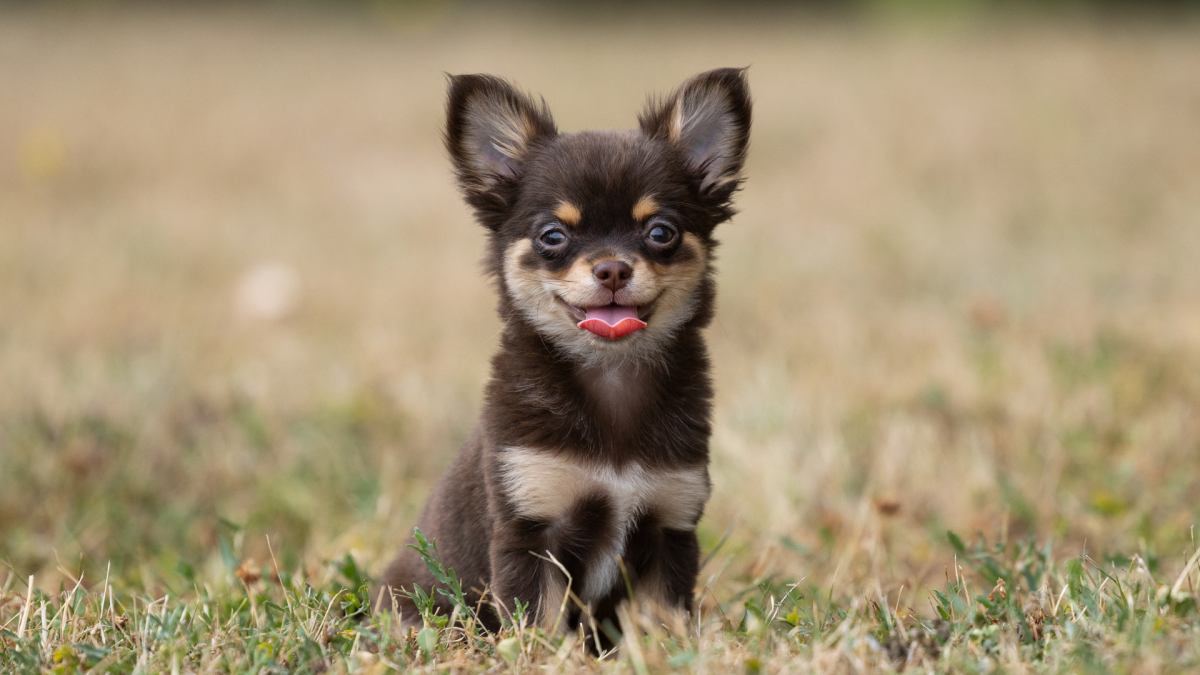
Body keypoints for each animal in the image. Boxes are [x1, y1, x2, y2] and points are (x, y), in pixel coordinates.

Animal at [376, 65, 748, 634]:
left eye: (661, 231)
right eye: (553, 236)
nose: (612, 268)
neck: (611, 374)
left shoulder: (671, 528)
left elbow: (661, 623)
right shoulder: (531, 532)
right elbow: (540, 626)